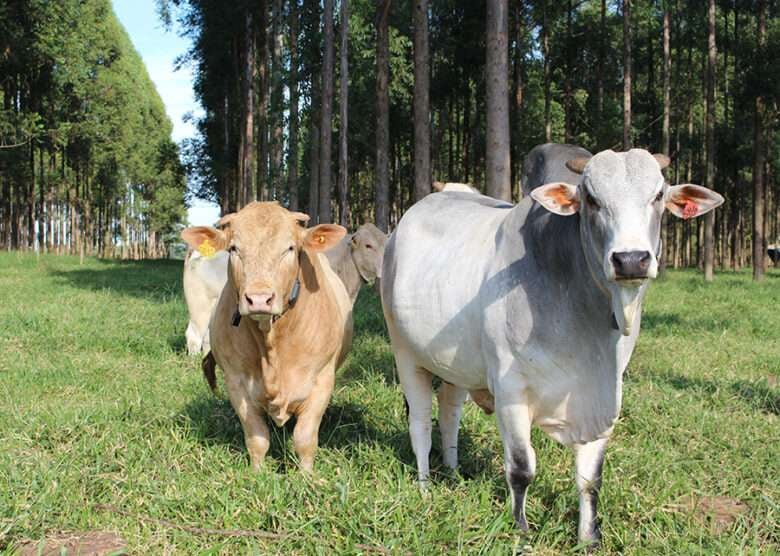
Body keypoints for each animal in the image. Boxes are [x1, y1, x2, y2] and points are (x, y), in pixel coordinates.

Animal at [181, 202, 352, 472]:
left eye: (290, 248)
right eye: (234, 249)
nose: (259, 299)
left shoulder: (322, 380)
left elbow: (304, 438)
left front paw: (306, 476)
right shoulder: (236, 383)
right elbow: (257, 437)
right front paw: (257, 473)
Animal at [380, 146, 724, 544]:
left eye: (658, 195)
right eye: (591, 199)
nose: (631, 260)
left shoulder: (604, 394)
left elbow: (590, 479)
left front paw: (588, 537)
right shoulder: (511, 390)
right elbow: (521, 468)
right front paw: (521, 529)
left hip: (455, 367)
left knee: (449, 412)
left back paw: (451, 473)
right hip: (405, 353)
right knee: (420, 422)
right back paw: (425, 486)